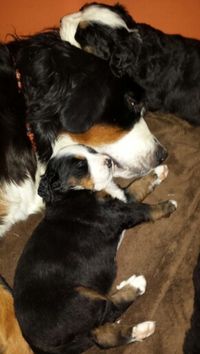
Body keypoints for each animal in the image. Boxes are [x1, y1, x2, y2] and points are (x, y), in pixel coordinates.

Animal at [12, 145, 177, 354]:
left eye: (92, 151)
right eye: (80, 166)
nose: (109, 161)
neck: (73, 192)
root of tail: (39, 345)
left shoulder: (121, 199)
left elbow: (137, 185)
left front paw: (158, 171)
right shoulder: (118, 213)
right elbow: (145, 209)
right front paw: (168, 205)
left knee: (102, 337)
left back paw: (140, 329)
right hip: (81, 298)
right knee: (108, 311)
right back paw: (135, 286)